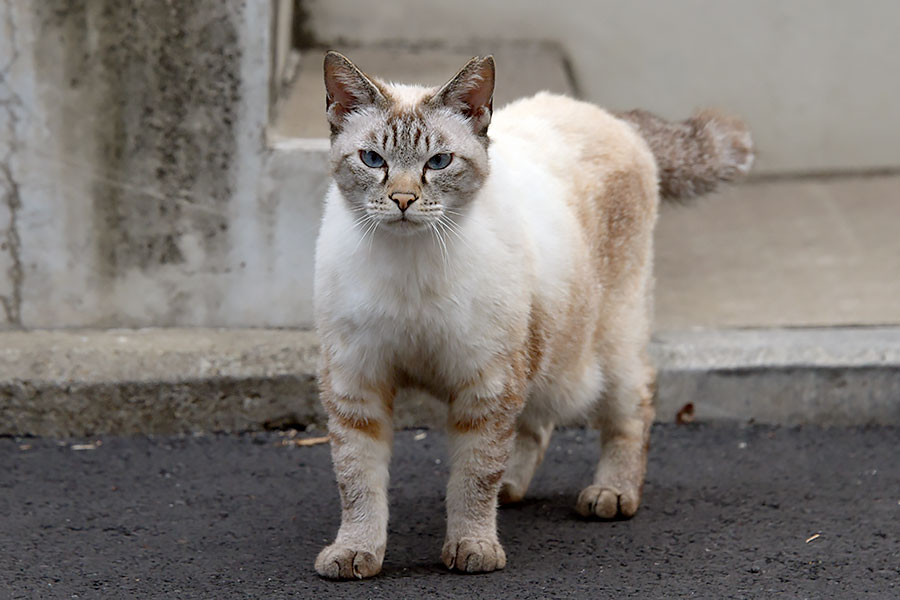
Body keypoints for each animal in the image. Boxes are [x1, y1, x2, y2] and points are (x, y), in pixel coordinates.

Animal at [312, 52, 748, 580]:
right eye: (373, 160)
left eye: (438, 163)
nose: (402, 200)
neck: (408, 268)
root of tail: (609, 115)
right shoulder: (357, 384)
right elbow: (358, 482)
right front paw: (355, 553)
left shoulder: (486, 384)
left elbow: (473, 477)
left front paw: (473, 548)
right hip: (543, 346)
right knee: (534, 424)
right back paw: (511, 491)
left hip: (602, 346)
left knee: (634, 402)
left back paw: (612, 493)